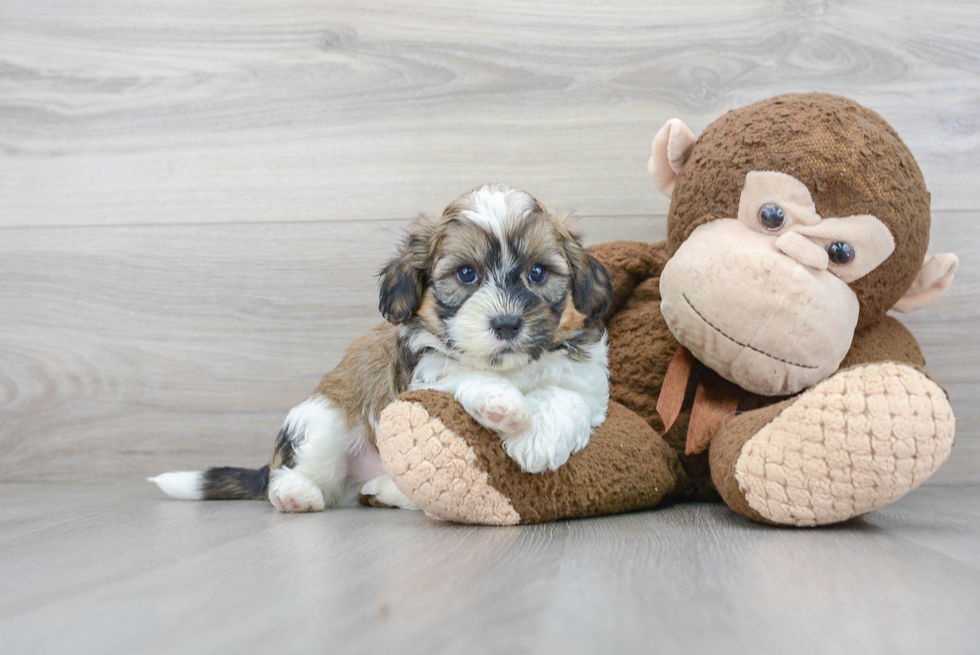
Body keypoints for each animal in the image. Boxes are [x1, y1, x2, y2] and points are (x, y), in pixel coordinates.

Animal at [150, 184, 612, 512]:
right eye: (466, 274)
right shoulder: (421, 372)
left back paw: (384, 489)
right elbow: (460, 374)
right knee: (296, 472)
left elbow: (568, 396)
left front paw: (539, 440)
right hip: (322, 419)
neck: (511, 367)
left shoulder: (588, 379)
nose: (507, 323)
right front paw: (503, 404)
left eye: (538, 273)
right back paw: (295, 493)